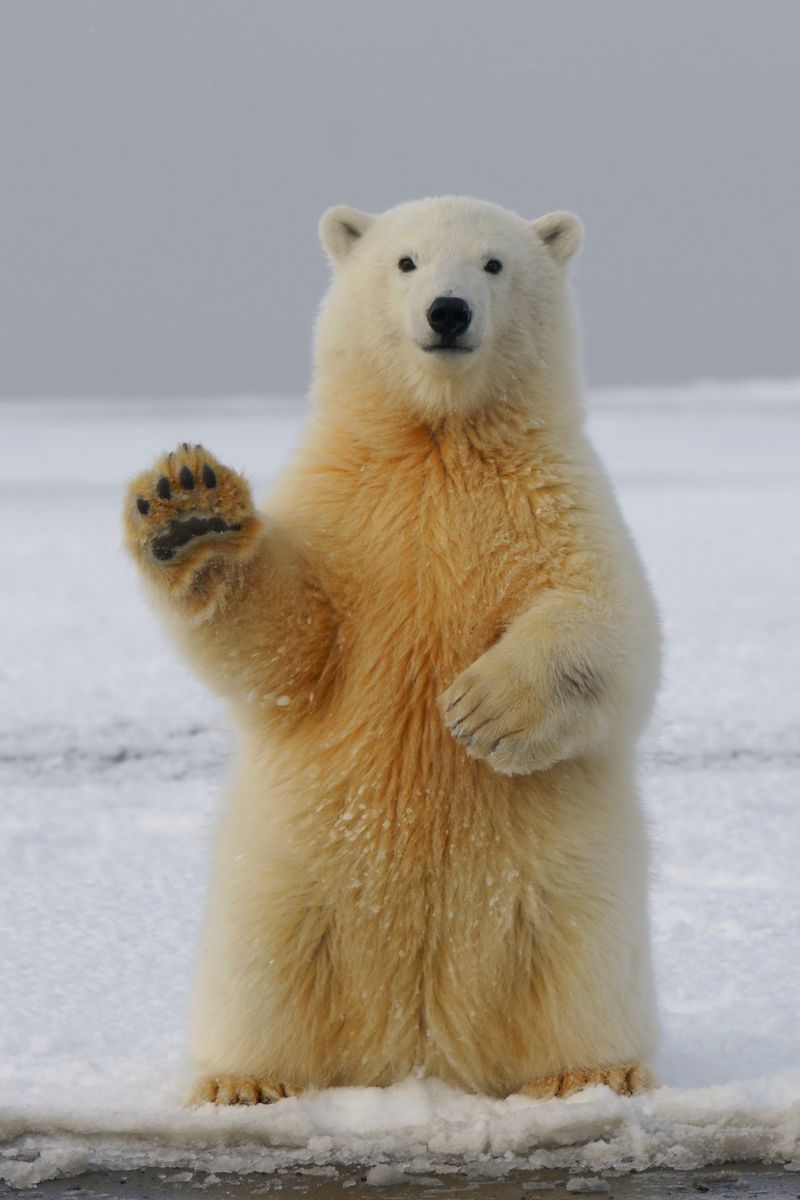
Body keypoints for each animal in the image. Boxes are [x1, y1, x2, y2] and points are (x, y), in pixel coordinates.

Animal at [123, 196, 661, 1106]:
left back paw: (593, 1072)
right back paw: (244, 1081)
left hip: (567, 886)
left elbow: (610, 623)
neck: (438, 440)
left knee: (579, 966)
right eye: (405, 261)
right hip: (286, 880)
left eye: (493, 264)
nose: (448, 312)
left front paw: (481, 710)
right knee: (261, 969)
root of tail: (419, 1049)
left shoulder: (556, 498)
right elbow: (290, 644)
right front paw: (189, 509)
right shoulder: (347, 509)